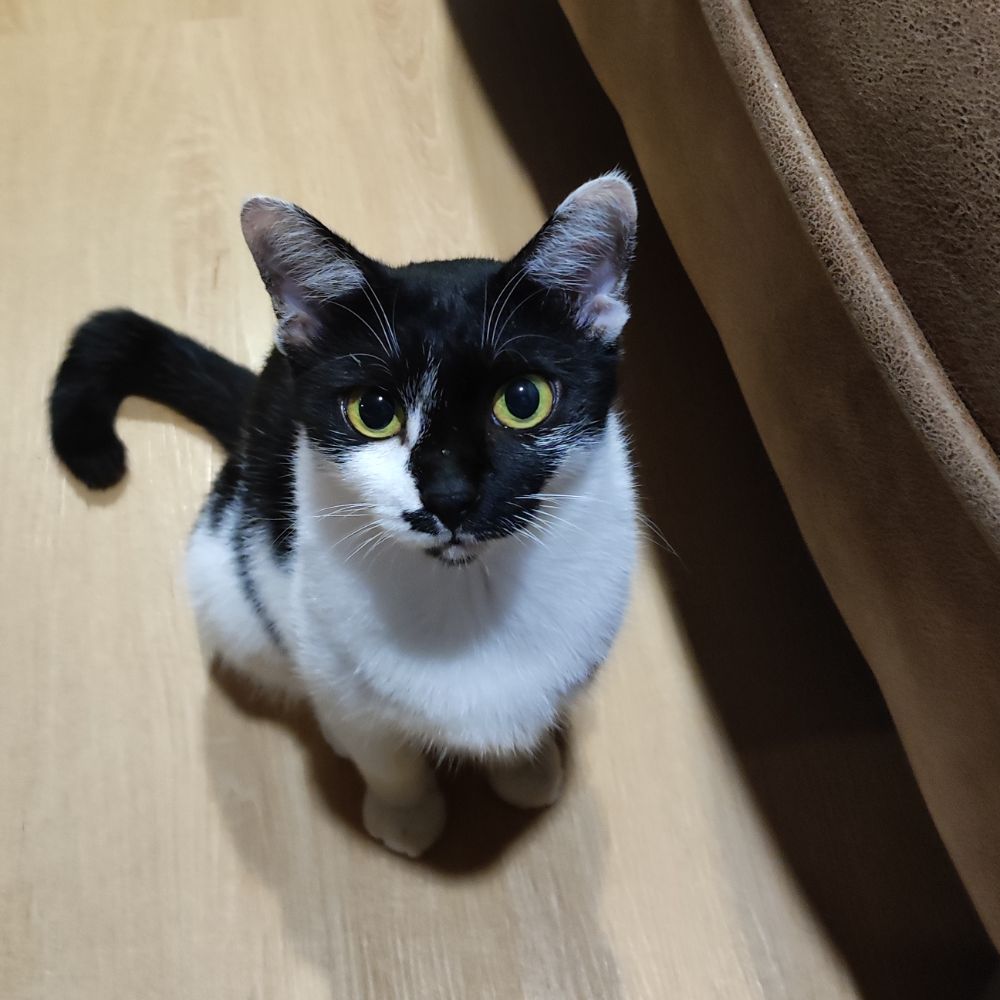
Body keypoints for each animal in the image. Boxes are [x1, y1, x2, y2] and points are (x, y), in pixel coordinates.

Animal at [48, 172, 640, 860]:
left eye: (523, 400)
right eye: (374, 411)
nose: (449, 494)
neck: (467, 591)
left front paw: (526, 767)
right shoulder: (326, 649)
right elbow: (383, 752)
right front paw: (407, 816)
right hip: (229, 590)